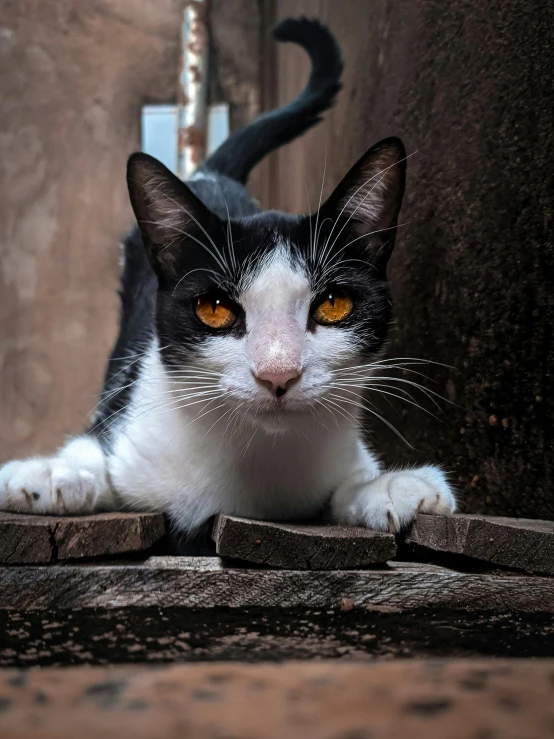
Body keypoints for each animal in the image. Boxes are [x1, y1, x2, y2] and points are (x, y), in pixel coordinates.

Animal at [0, 17, 452, 536]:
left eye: (334, 304)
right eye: (214, 308)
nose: (278, 373)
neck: (255, 462)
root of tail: (213, 175)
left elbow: (349, 482)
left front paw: (392, 485)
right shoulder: (128, 411)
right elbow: (94, 446)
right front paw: (51, 472)